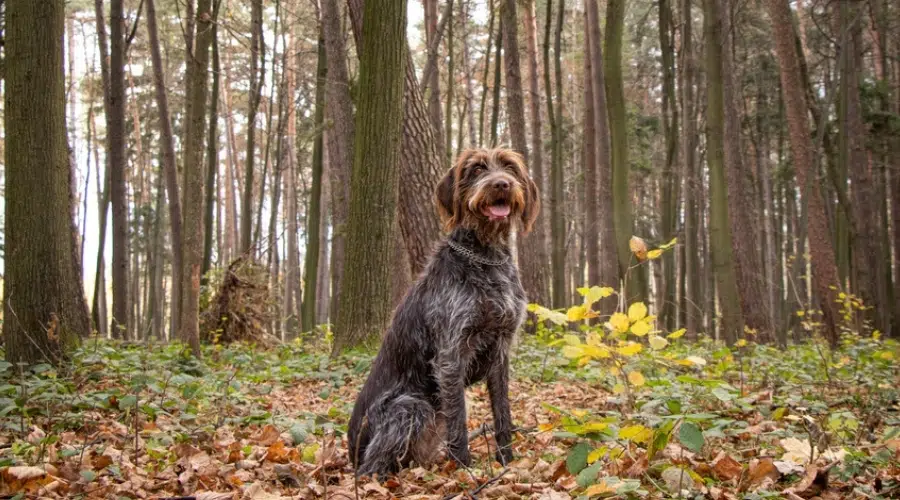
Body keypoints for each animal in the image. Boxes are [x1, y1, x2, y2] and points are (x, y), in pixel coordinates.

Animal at [348, 147, 536, 476]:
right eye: (477, 169)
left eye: (510, 167)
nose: (501, 184)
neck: (487, 255)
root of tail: (350, 453)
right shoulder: (451, 355)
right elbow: (458, 420)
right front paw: (464, 469)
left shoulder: (501, 350)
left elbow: (503, 413)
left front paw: (507, 461)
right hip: (410, 406)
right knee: (370, 469)